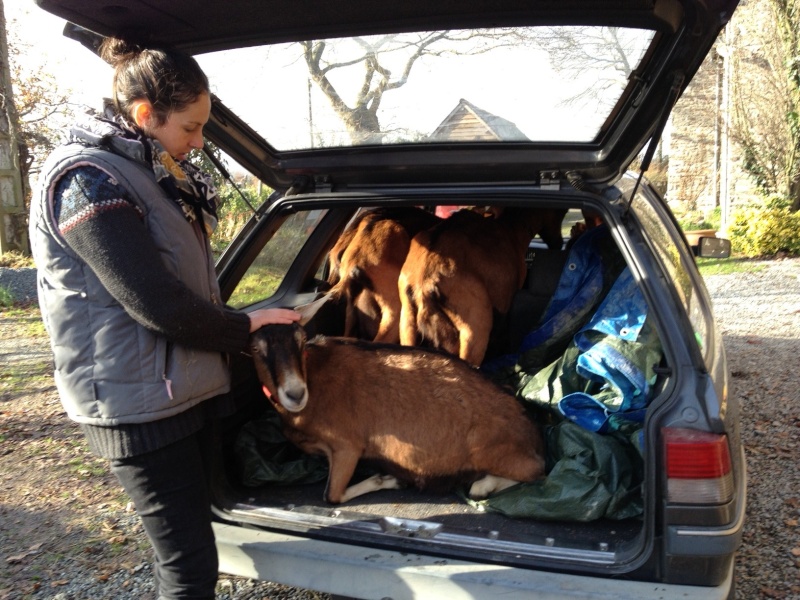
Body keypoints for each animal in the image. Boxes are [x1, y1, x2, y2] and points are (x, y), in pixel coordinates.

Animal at [252, 324, 544, 506]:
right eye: (255, 349)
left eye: (301, 341)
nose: (295, 393)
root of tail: (530, 431)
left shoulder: (348, 445)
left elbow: (331, 496)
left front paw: (388, 479)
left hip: (490, 452)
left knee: (536, 471)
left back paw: (482, 486)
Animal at [396, 206, 564, 366]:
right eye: (560, 212)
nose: (560, 244)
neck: (512, 228)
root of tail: (426, 280)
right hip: (474, 333)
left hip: (407, 326)